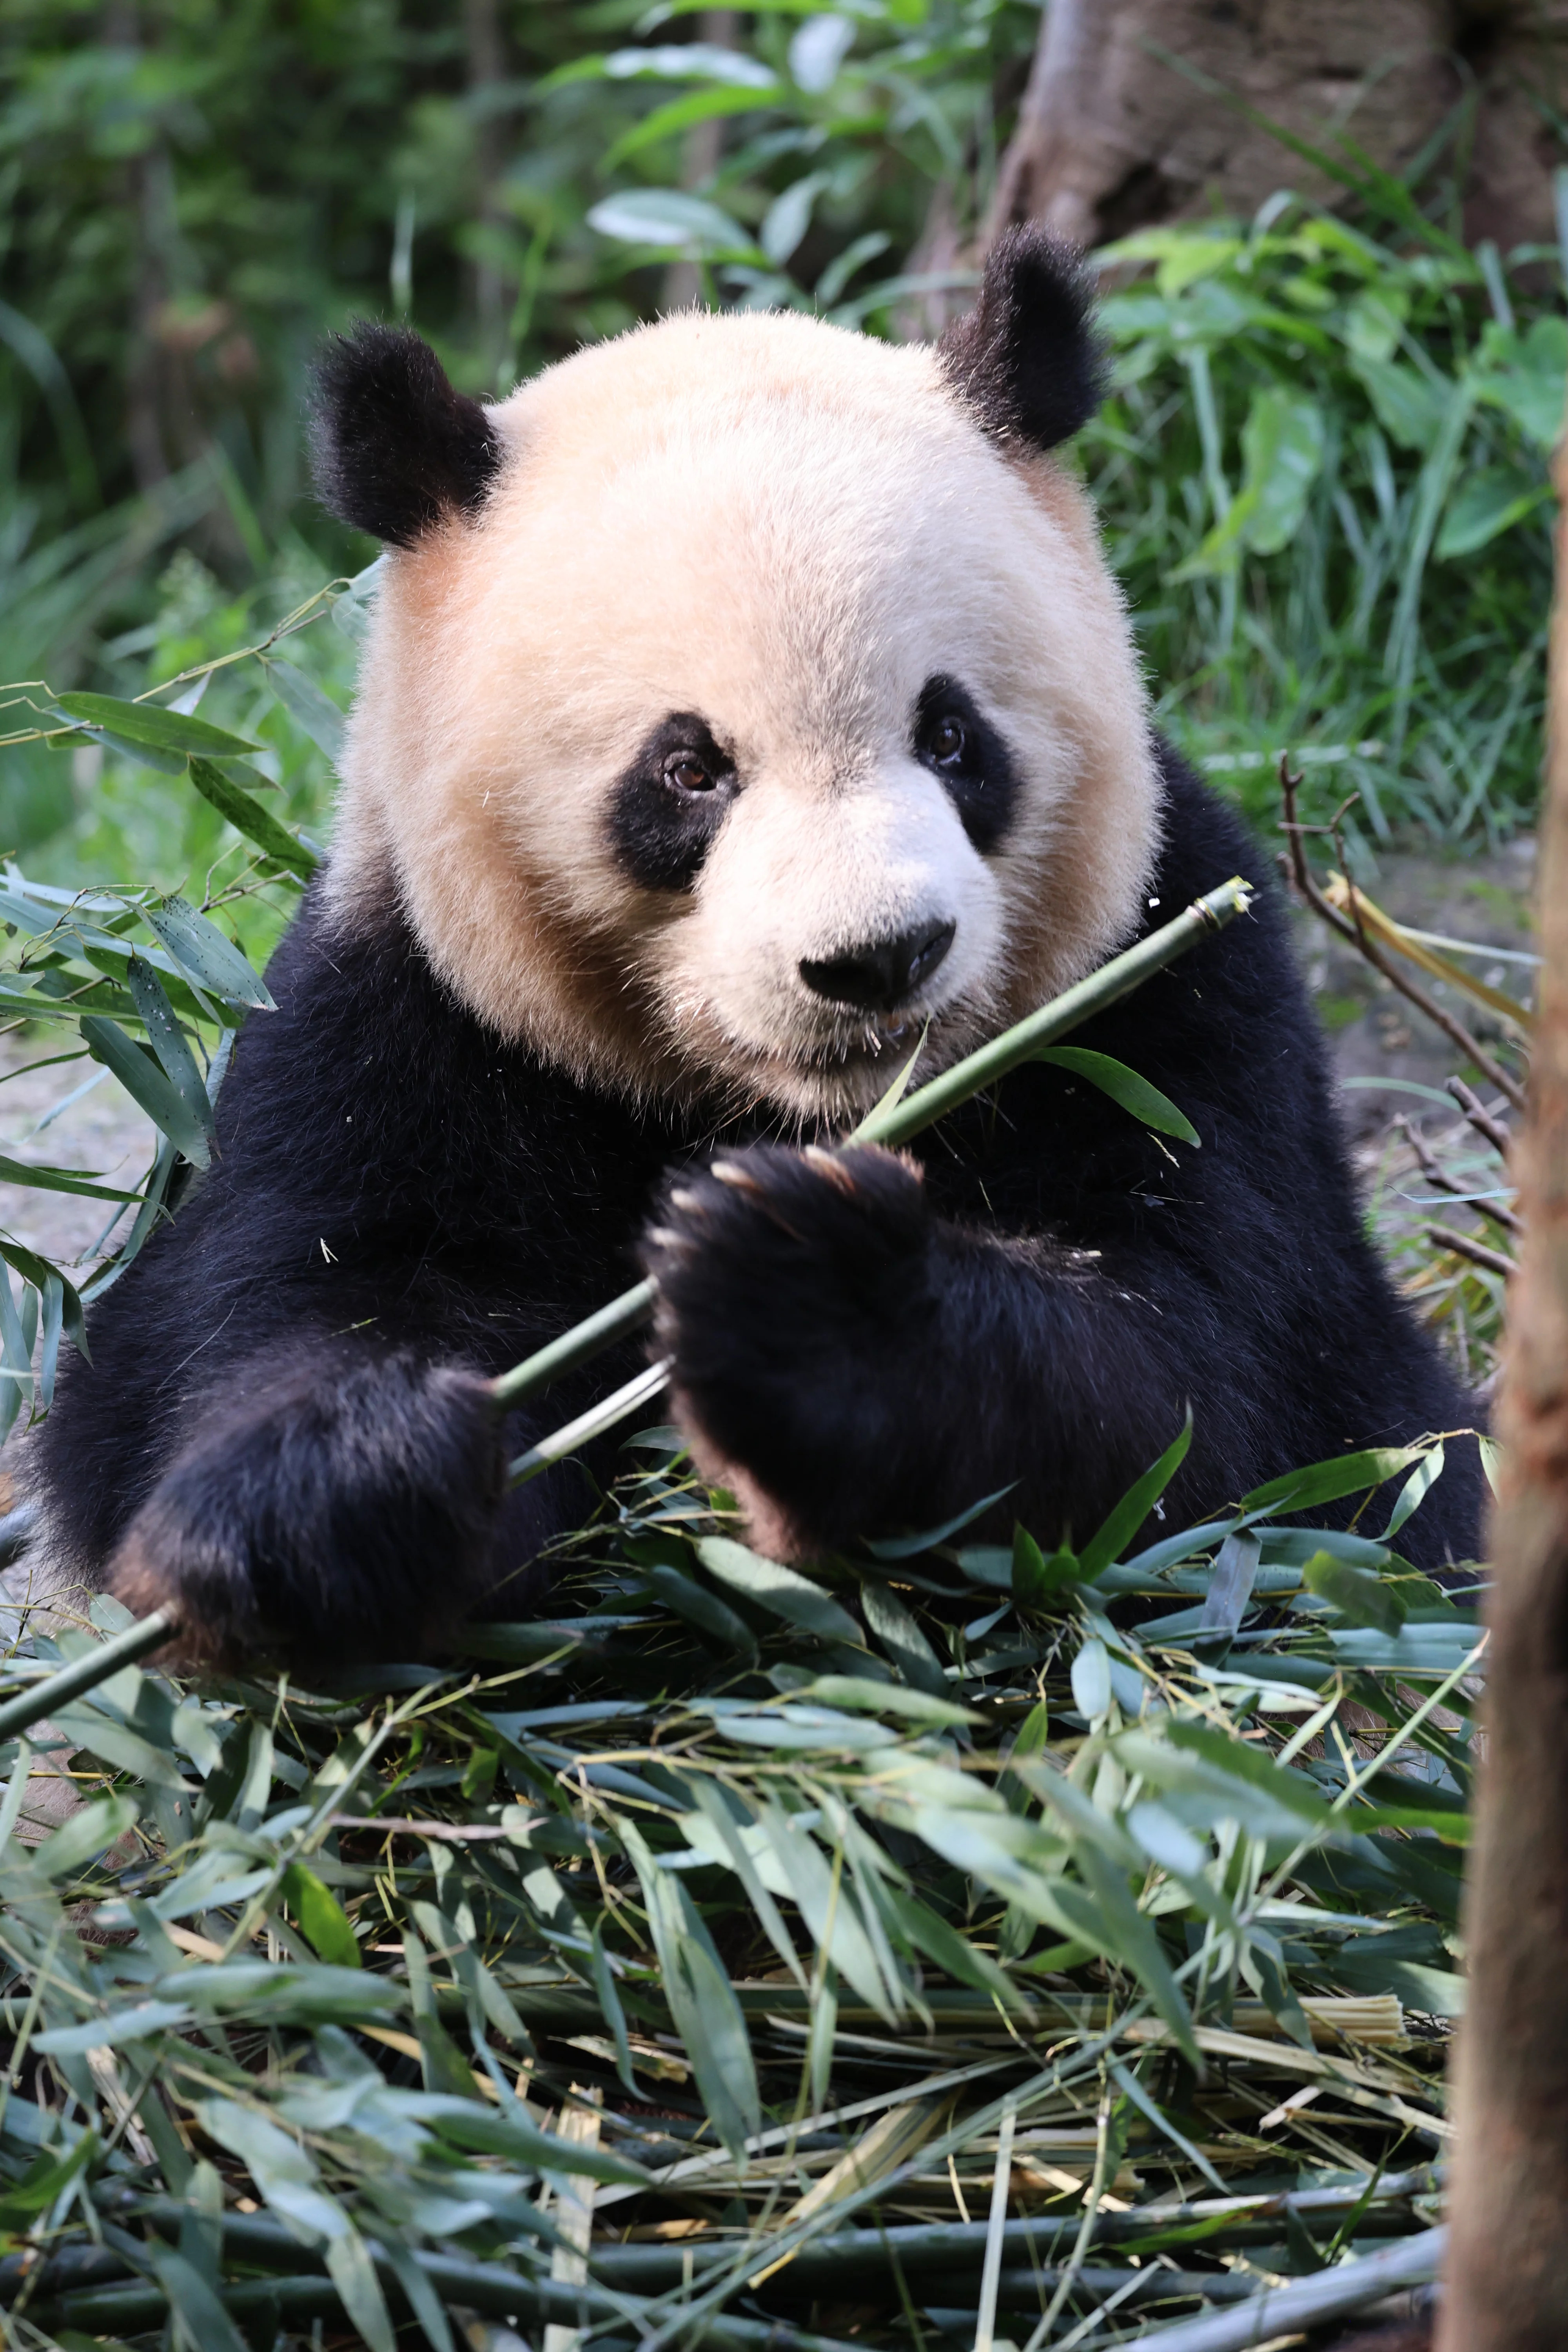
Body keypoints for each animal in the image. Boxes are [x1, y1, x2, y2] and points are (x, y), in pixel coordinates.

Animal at [25, 229, 1483, 1665]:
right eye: (688, 770)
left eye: (950, 735)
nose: (877, 958)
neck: (801, 1114)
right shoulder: (403, 1020)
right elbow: (269, 1307)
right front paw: (339, 1486)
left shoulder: (1172, 987)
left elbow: (1239, 1406)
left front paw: (811, 1300)